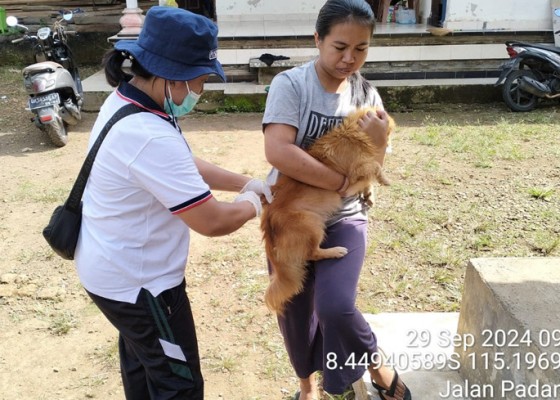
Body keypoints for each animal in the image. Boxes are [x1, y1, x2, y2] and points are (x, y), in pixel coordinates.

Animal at [262, 108, 394, 314]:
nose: (389, 145)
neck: (355, 133)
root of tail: (268, 218)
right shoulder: (358, 169)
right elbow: (374, 167)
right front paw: (383, 179)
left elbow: (368, 179)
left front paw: (369, 194)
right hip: (313, 225)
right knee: (312, 253)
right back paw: (335, 251)